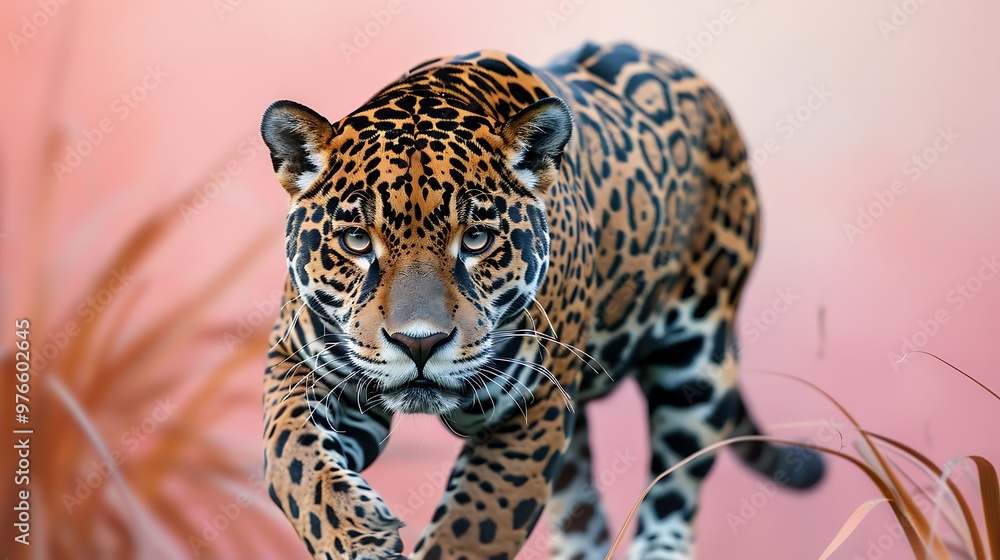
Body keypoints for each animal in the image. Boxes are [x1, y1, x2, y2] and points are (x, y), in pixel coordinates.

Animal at [260, 42, 824, 560]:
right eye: (356, 240)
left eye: (476, 240)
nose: (419, 344)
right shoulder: (298, 365)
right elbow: (291, 455)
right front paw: (358, 533)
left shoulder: (534, 409)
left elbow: (471, 527)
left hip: (698, 369)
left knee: (674, 495)